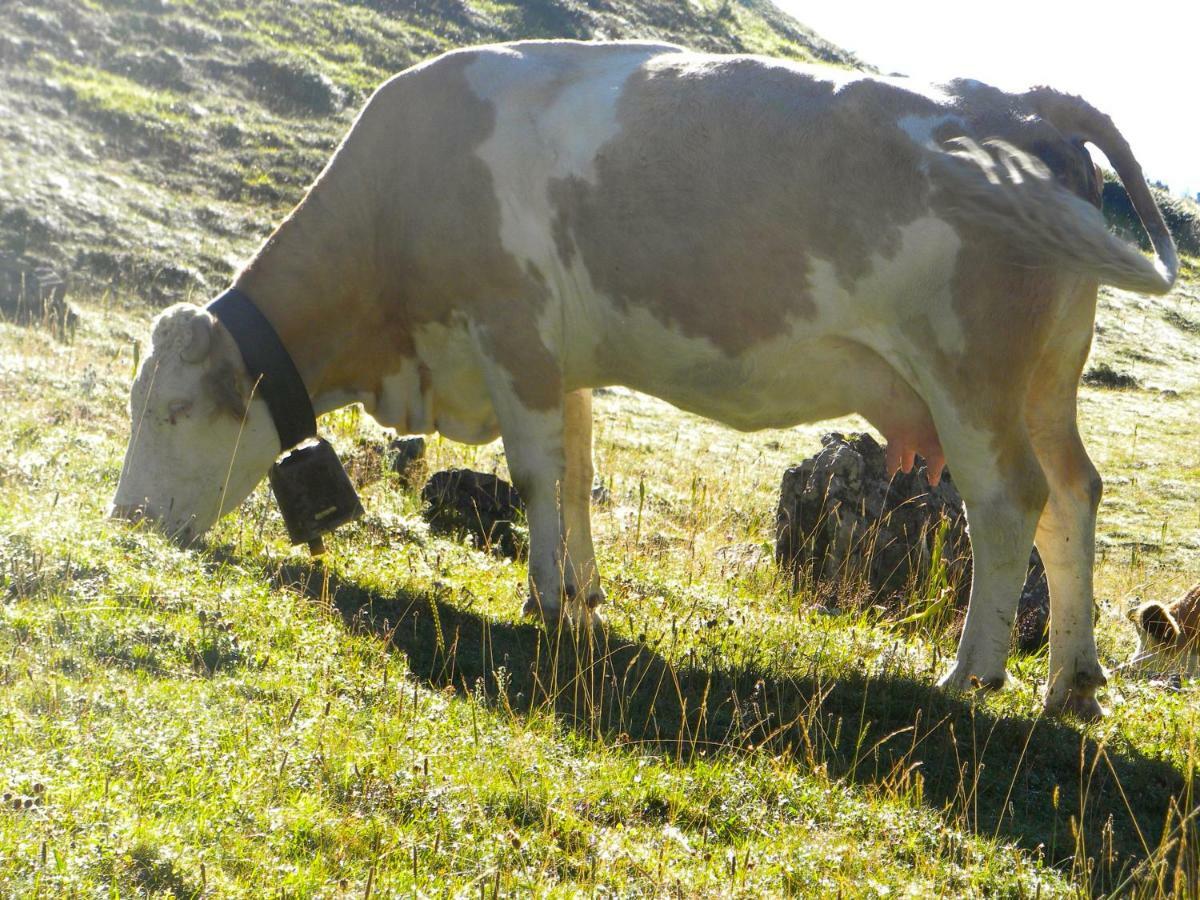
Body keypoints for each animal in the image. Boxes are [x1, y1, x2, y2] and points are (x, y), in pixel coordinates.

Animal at [114, 42, 1180, 724]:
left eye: (173, 410)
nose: (123, 520)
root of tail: (1029, 100)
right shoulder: (560, 360)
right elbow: (577, 474)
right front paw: (584, 595)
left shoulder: (511, 334)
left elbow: (537, 476)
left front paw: (545, 603)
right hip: (1046, 380)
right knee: (1074, 497)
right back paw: (1071, 681)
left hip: (971, 371)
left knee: (1008, 504)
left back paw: (973, 676)